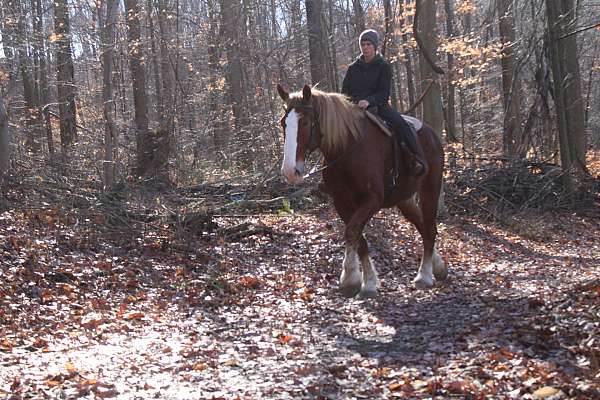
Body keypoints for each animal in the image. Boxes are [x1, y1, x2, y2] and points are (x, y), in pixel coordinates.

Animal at [276, 84, 446, 296]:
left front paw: (350, 279)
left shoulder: (372, 200)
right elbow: (359, 238)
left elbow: (352, 232)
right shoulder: (341, 202)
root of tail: (432, 134)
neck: (347, 149)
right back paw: (437, 266)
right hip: (404, 199)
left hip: (430, 188)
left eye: (305, 122)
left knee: (430, 227)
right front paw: (368, 282)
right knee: (423, 226)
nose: (289, 171)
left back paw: (425, 275)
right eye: (283, 123)